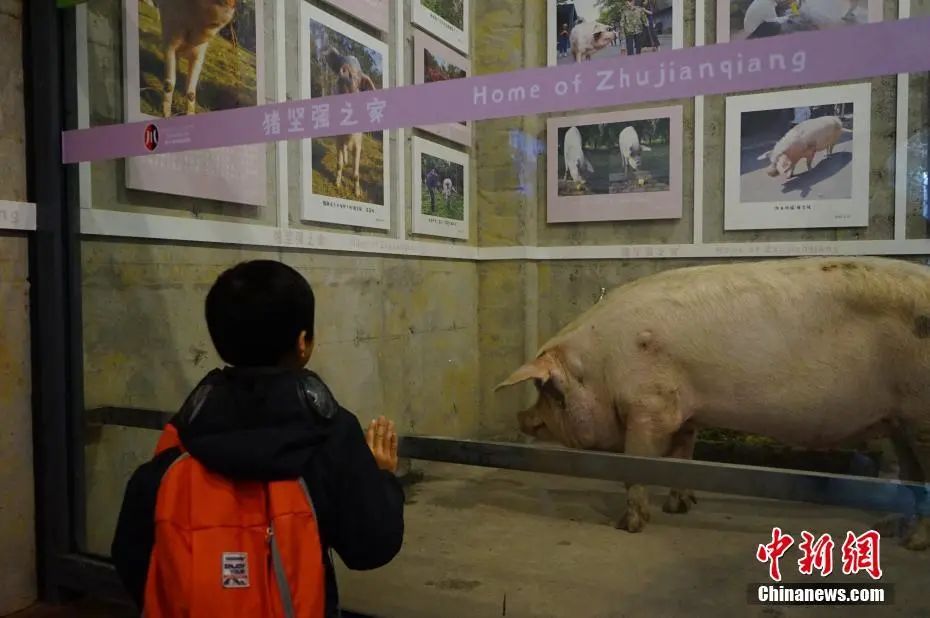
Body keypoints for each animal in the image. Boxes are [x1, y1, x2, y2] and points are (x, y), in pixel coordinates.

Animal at [496, 255, 928, 548]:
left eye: (548, 391)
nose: (521, 417)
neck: (600, 367)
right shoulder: (686, 413)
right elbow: (683, 457)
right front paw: (681, 506)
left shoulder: (649, 407)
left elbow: (637, 463)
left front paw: (627, 525)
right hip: (902, 421)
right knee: (912, 474)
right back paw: (896, 529)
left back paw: (913, 542)